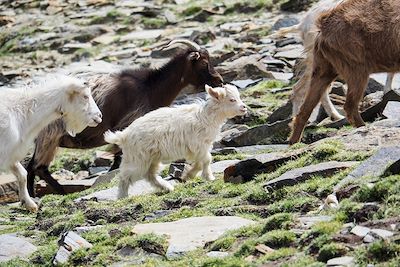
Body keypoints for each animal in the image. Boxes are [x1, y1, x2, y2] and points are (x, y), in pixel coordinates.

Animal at [26, 38, 223, 196]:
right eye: (203, 63)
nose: (219, 81)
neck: (149, 88)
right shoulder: (127, 125)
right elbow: (118, 159)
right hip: (49, 136)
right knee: (37, 167)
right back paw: (52, 194)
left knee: (33, 167)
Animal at [103, 84, 247, 199]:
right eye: (232, 99)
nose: (244, 108)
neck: (205, 117)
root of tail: (123, 136)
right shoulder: (198, 145)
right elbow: (207, 160)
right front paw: (208, 177)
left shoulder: (199, 147)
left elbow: (201, 162)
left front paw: (188, 175)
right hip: (137, 159)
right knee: (125, 176)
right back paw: (123, 196)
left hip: (151, 158)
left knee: (150, 175)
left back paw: (167, 187)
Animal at [290, 0, 400, 144]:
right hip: (354, 60)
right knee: (350, 103)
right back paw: (362, 127)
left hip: (324, 64)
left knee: (307, 104)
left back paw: (293, 142)